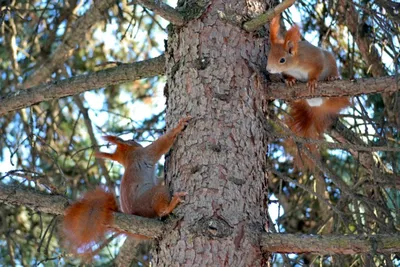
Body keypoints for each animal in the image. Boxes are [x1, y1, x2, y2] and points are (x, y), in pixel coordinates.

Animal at [62, 116, 192, 258]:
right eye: (132, 140)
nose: (134, 139)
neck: (128, 157)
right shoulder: (145, 153)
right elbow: (163, 143)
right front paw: (179, 126)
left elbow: (157, 178)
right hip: (154, 195)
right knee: (162, 210)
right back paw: (173, 202)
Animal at [268, 14, 348, 170]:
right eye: (269, 55)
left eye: (282, 60)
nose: (268, 69)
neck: (295, 65)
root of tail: (315, 104)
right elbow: (288, 77)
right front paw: (290, 81)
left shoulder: (315, 60)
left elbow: (317, 70)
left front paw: (311, 82)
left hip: (330, 64)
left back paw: (331, 77)